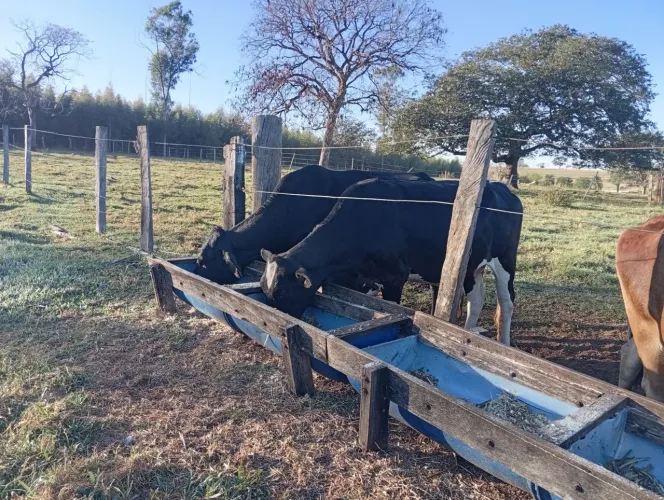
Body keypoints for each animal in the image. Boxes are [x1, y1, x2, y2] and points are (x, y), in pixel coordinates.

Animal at [260, 177, 523, 345]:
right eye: (264, 288)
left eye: (284, 292)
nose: (273, 327)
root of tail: (501, 187)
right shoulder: (357, 279)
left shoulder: (395, 278)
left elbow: (392, 310)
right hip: (472, 265)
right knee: (476, 299)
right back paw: (468, 334)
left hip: (505, 259)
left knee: (507, 301)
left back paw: (504, 342)